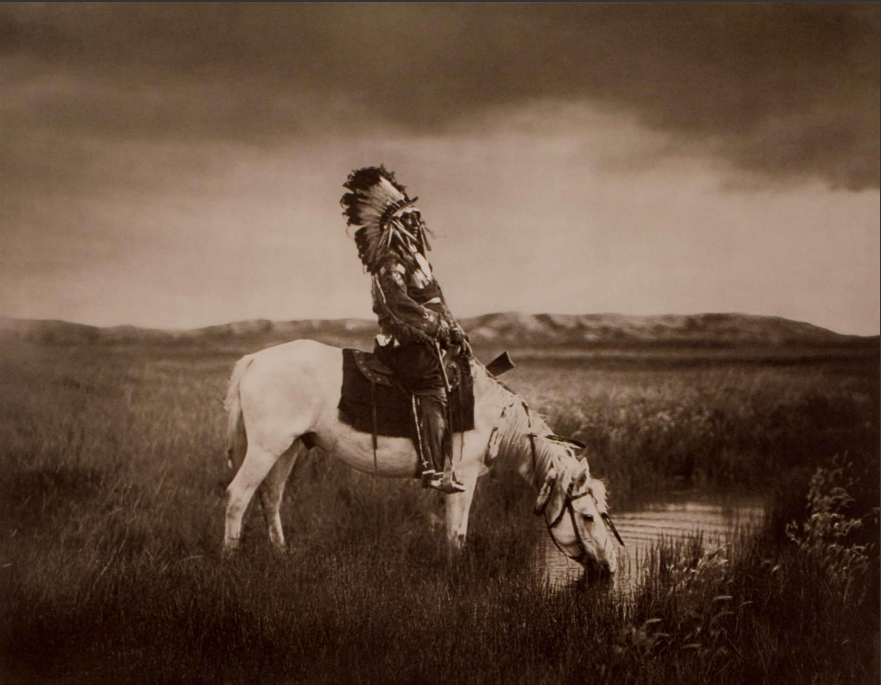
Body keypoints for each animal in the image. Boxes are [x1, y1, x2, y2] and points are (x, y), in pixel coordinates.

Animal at [223, 340, 624, 576]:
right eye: (588, 516)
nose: (610, 568)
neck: (495, 416)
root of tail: (253, 359)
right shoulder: (463, 477)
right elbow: (457, 533)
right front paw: (455, 575)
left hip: (287, 447)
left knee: (270, 497)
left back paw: (281, 556)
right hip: (265, 447)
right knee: (238, 496)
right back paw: (230, 560)